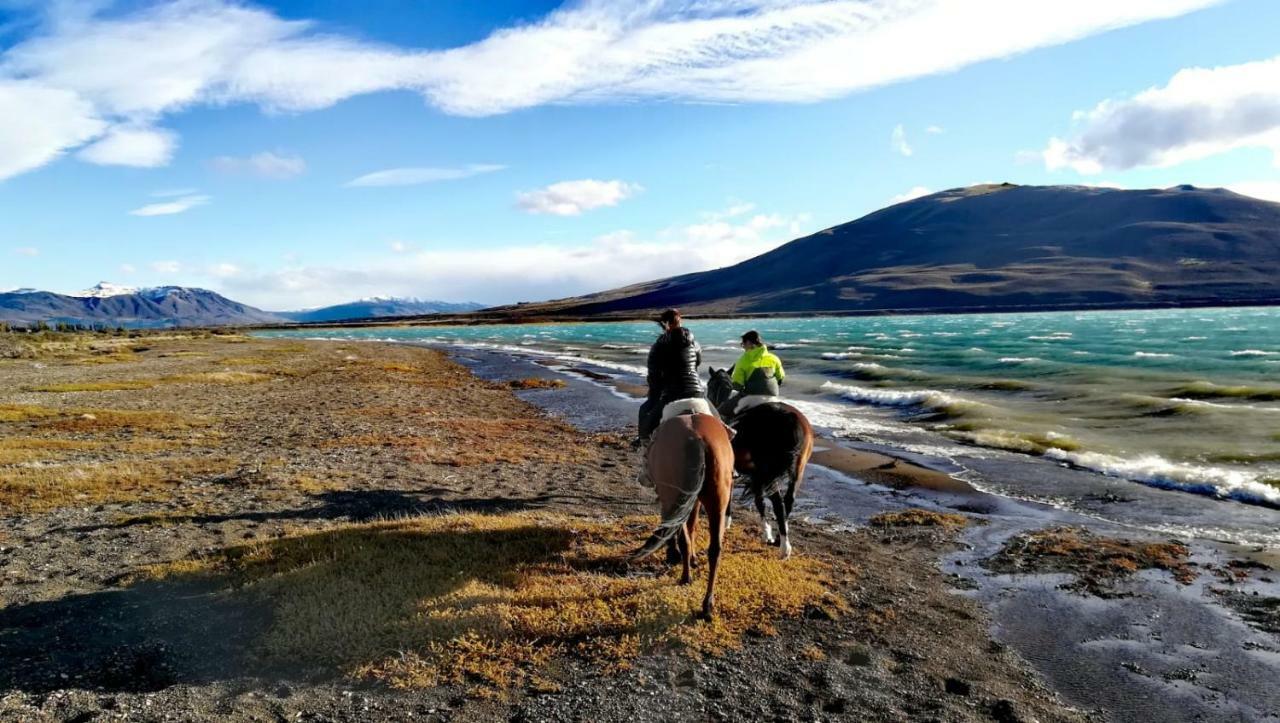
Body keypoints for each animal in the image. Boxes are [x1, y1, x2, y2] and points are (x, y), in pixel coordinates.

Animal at [632, 412, 737, 614]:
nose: (642, 478)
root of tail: (698, 439)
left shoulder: (671, 502)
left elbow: (674, 529)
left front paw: (673, 554)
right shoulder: (693, 500)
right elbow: (692, 525)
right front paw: (694, 558)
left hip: (673, 495)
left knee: (683, 540)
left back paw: (685, 577)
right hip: (717, 502)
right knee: (715, 550)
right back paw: (707, 604)